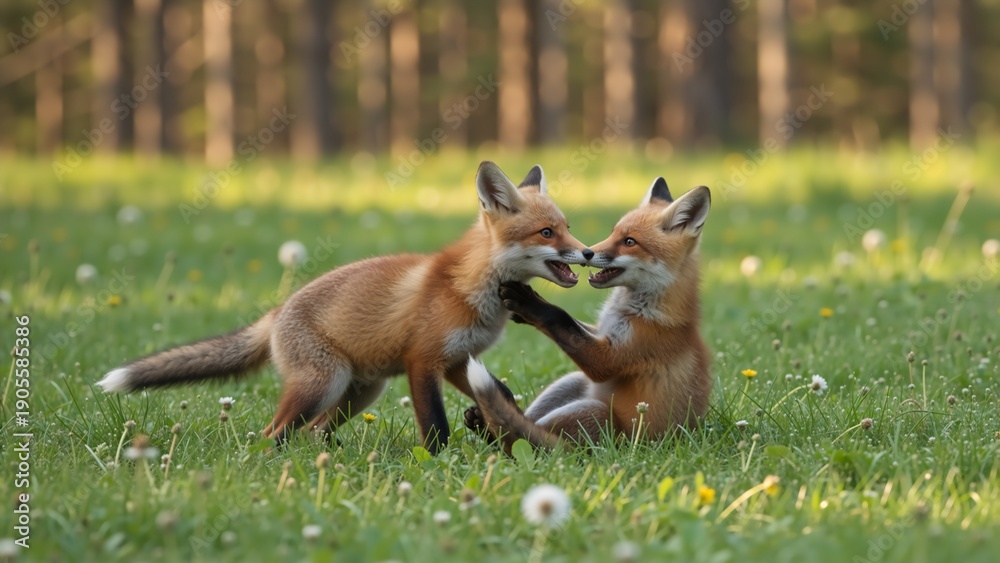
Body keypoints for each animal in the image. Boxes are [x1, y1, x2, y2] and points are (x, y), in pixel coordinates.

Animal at [97, 161, 592, 454]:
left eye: (568, 227)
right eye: (547, 233)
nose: (587, 252)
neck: (472, 287)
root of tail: (276, 313)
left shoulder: (455, 360)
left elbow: (501, 392)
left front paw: (495, 421)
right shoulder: (422, 361)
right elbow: (434, 424)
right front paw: (438, 462)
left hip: (360, 392)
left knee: (315, 429)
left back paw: (324, 456)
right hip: (324, 383)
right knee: (274, 433)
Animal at [463, 179, 712, 453]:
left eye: (629, 242)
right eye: (614, 233)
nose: (588, 253)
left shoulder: (611, 357)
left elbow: (559, 317)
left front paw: (528, 303)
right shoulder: (601, 331)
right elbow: (574, 324)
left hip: (595, 413)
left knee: (522, 442)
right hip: (570, 383)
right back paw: (485, 423)